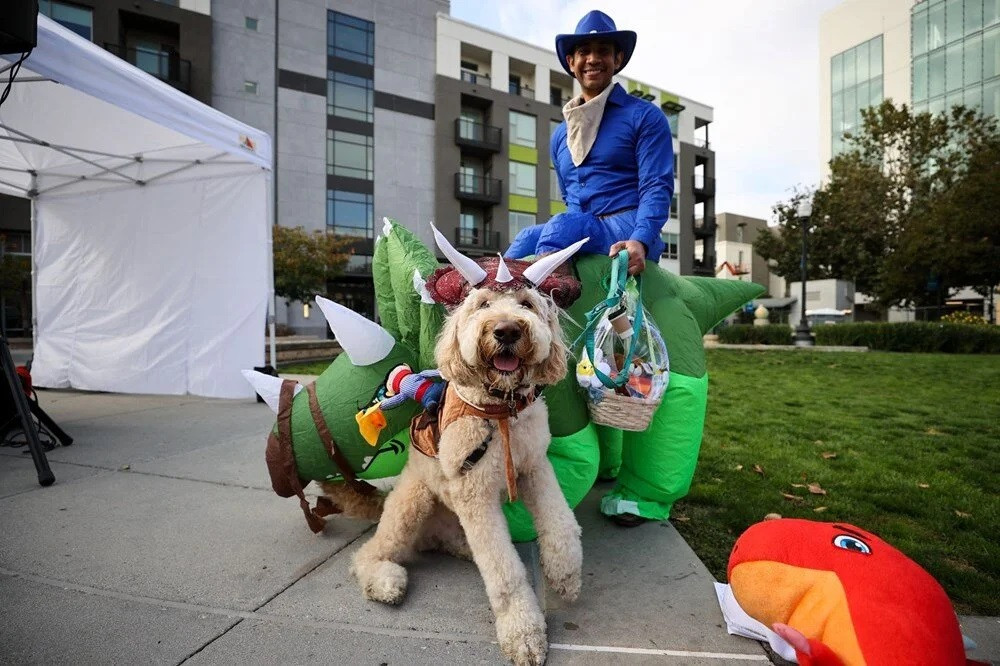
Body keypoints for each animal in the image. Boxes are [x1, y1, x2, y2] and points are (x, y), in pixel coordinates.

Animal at [350, 231, 584, 660]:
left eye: (526, 304)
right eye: (483, 304)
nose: (507, 330)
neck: (501, 410)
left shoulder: (535, 467)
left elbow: (561, 525)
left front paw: (565, 576)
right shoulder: (475, 493)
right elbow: (504, 571)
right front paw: (523, 633)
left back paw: (459, 547)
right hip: (412, 504)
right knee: (369, 552)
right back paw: (386, 581)